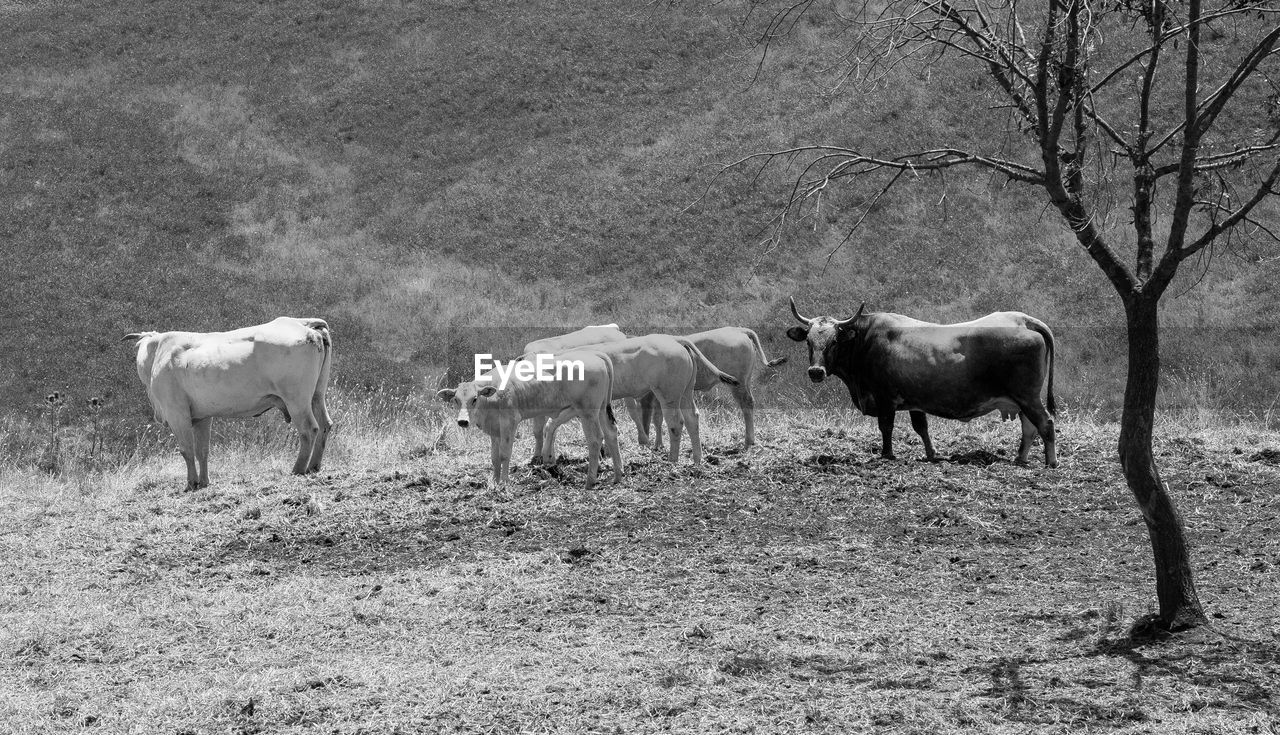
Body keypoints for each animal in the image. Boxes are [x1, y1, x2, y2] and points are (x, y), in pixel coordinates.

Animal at [123, 320, 335, 491]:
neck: (159, 353)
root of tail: (303, 323)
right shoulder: (202, 417)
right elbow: (202, 451)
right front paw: (204, 482)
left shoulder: (177, 412)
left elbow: (187, 450)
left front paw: (191, 483)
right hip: (317, 395)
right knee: (325, 425)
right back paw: (314, 466)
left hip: (296, 399)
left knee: (309, 430)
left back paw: (298, 469)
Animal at [783, 298, 1054, 466]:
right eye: (808, 341)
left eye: (834, 342)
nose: (816, 372)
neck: (866, 340)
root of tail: (1023, 319)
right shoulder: (915, 401)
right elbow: (921, 427)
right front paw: (932, 454)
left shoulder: (885, 399)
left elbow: (886, 427)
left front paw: (887, 454)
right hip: (1022, 400)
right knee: (1029, 428)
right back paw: (1020, 458)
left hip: (1028, 397)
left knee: (1046, 423)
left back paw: (1051, 462)